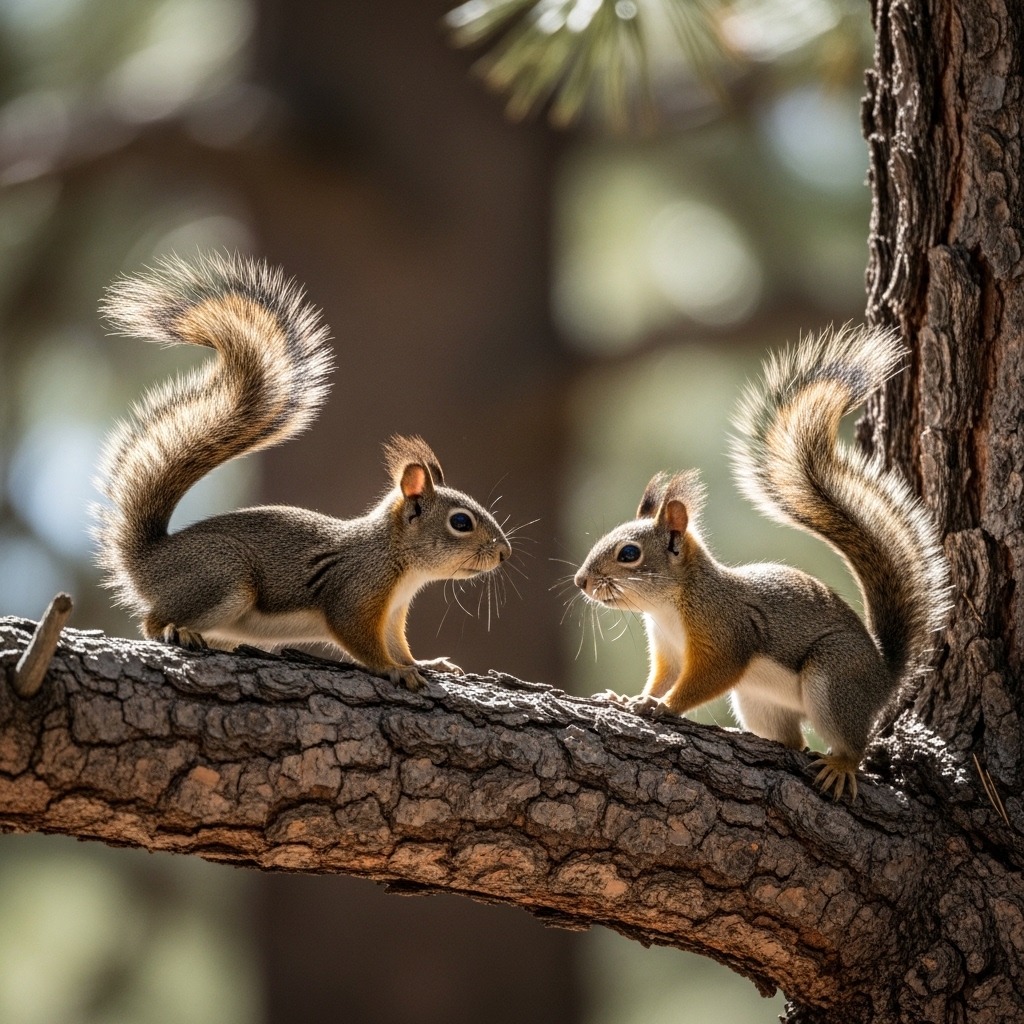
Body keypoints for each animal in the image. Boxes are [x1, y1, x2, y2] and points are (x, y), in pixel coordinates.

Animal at [94, 252, 511, 691]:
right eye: (461, 522)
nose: (505, 553)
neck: (397, 559)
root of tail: (147, 559)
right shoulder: (353, 593)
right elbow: (362, 643)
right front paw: (395, 670)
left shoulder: (393, 615)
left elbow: (399, 645)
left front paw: (427, 663)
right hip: (221, 577)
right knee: (151, 620)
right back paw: (178, 630)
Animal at [573, 324, 949, 798]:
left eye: (628, 554)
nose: (581, 581)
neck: (667, 606)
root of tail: (884, 678)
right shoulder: (669, 651)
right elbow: (663, 675)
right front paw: (630, 698)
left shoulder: (726, 630)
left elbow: (709, 676)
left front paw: (662, 707)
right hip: (758, 703)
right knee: (792, 739)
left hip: (834, 678)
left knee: (852, 742)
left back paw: (841, 764)